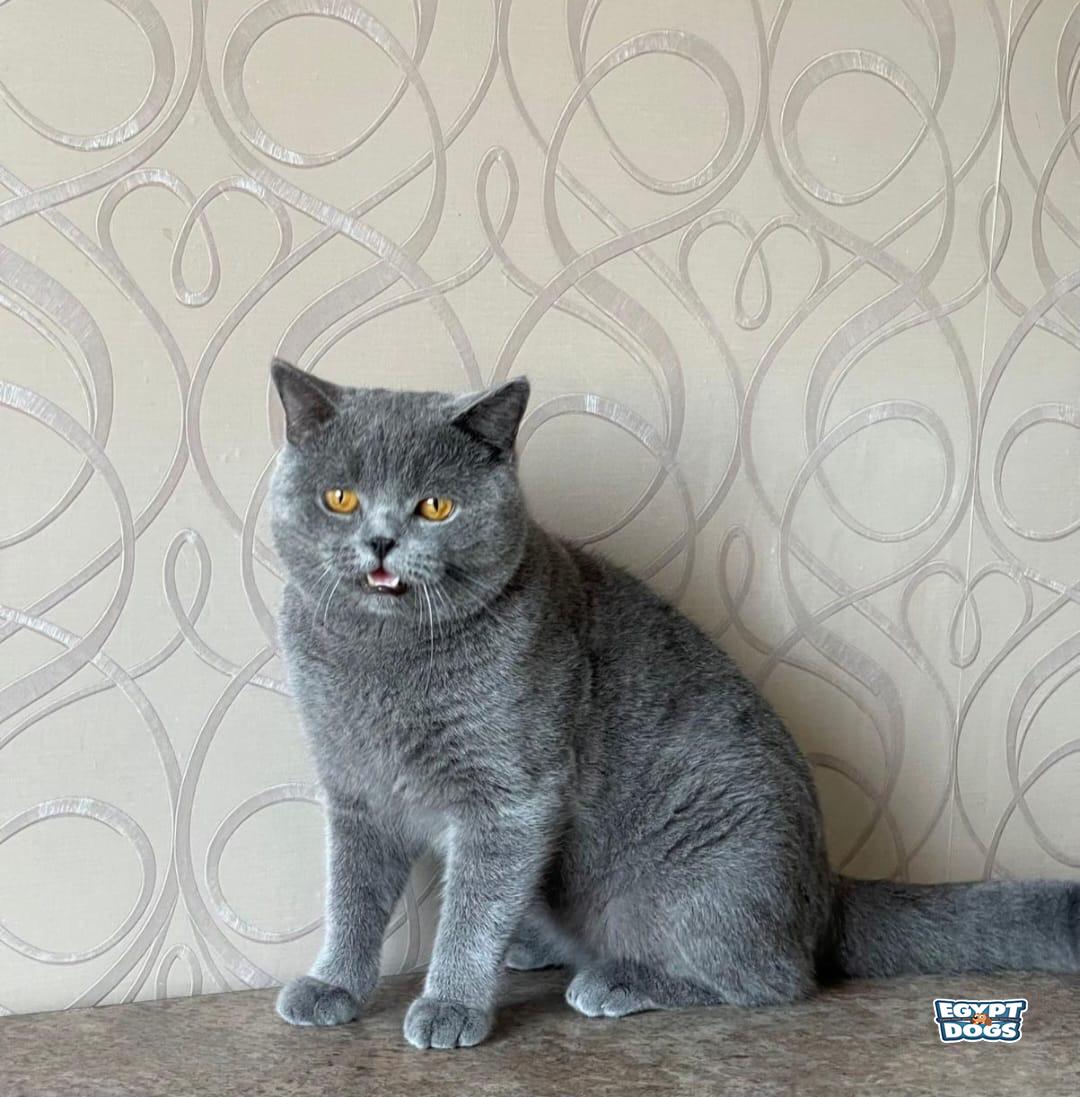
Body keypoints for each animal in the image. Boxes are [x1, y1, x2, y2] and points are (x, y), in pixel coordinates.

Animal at [269, 359, 1079, 1050]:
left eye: (436, 506)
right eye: (340, 498)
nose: (380, 540)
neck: (382, 657)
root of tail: (827, 888)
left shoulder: (511, 796)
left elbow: (472, 906)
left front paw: (449, 1003)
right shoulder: (356, 789)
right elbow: (353, 896)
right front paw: (332, 985)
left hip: (698, 877)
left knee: (773, 978)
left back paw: (618, 978)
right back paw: (533, 947)